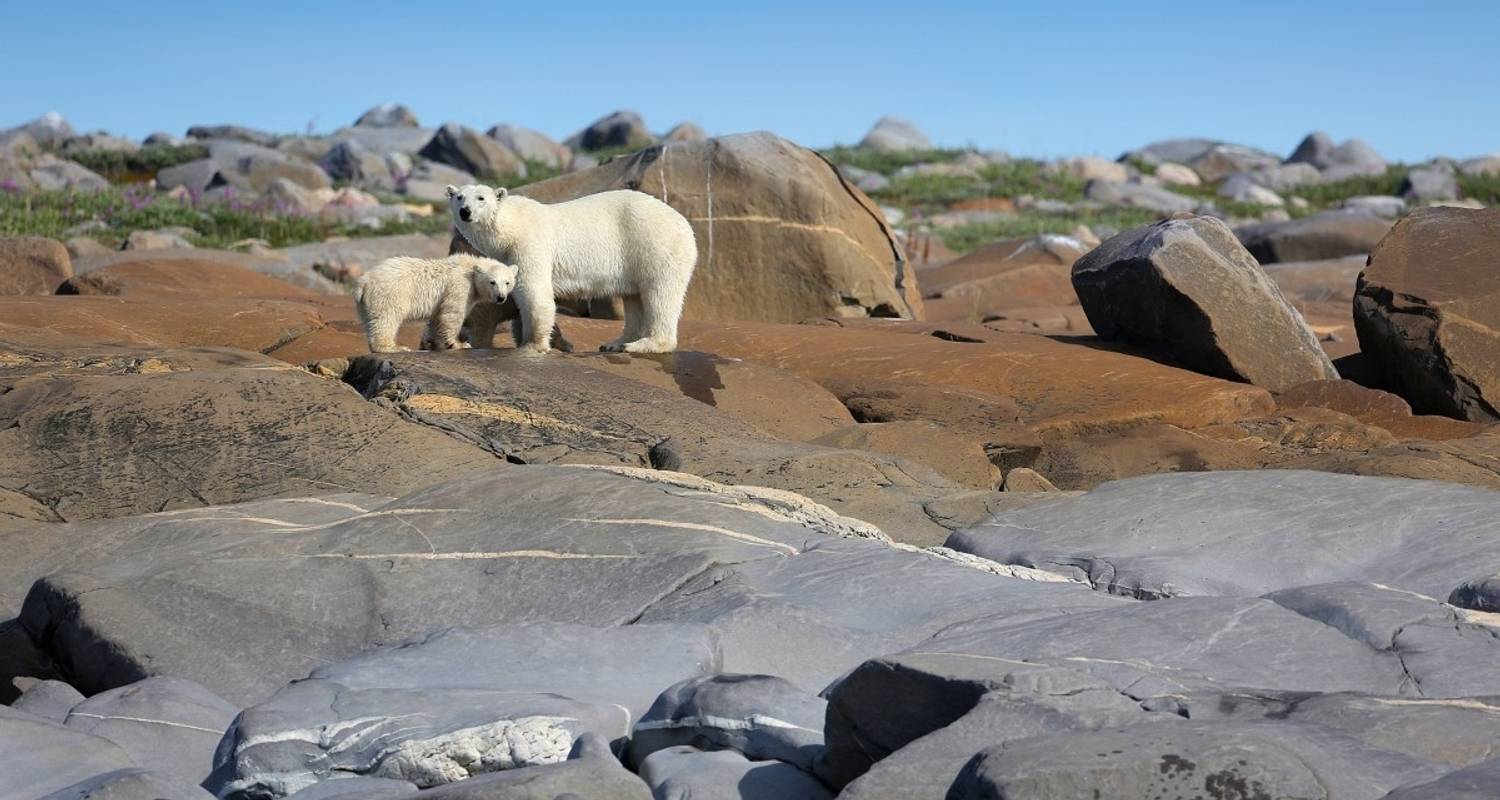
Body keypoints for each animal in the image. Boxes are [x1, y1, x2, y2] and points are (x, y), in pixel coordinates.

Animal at [354, 252, 519, 352]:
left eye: (507, 282)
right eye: (492, 282)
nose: (501, 297)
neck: (470, 267)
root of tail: (364, 281)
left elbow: (437, 317)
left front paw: (436, 344)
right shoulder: (460, 285)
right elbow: (452, 313)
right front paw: (460, 344)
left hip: (365, 303)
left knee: (371, 320)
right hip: (390, 293)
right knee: (387, 318)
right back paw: (394, 347)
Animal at [447, 185, 699, 354]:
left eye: (481, 198)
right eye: (459, 197)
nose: (465, 211)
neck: (511, 225)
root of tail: (685, 224)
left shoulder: (530, 243)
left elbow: (534, 293)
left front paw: (533, 345)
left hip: (655, 245)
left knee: (660, 294)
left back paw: (643, 344)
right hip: (634, 260)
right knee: (633, 297)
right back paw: (615, 343)